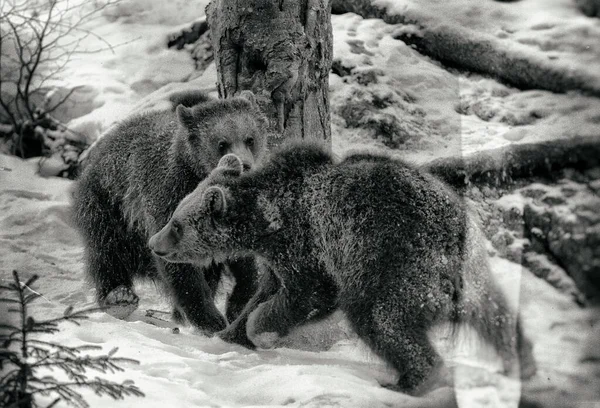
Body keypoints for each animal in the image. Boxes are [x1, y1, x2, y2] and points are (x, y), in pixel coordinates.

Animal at [72, 90, 268, 332]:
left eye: (250, 139)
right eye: (221, 143)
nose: (245, 165)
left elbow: (245, 260)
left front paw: (238, 304)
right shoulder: (169, 195)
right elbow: (179, 265)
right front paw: (210, 318)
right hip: (109, 205)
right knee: (106, 252)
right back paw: (119, 297)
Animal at [149, 141, 536, 396]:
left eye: (177, 225)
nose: (154, 243)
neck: (265, 221)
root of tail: (452, 230)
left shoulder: (307, 241)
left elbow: (310, 293)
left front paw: (261, 330)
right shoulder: (277, 258)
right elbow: (267, 292)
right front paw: (229, 334)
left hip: (393, 262)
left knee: (379, 317)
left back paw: (409, 380)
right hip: (470, 274)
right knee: (495, 314)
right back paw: (521, 361)